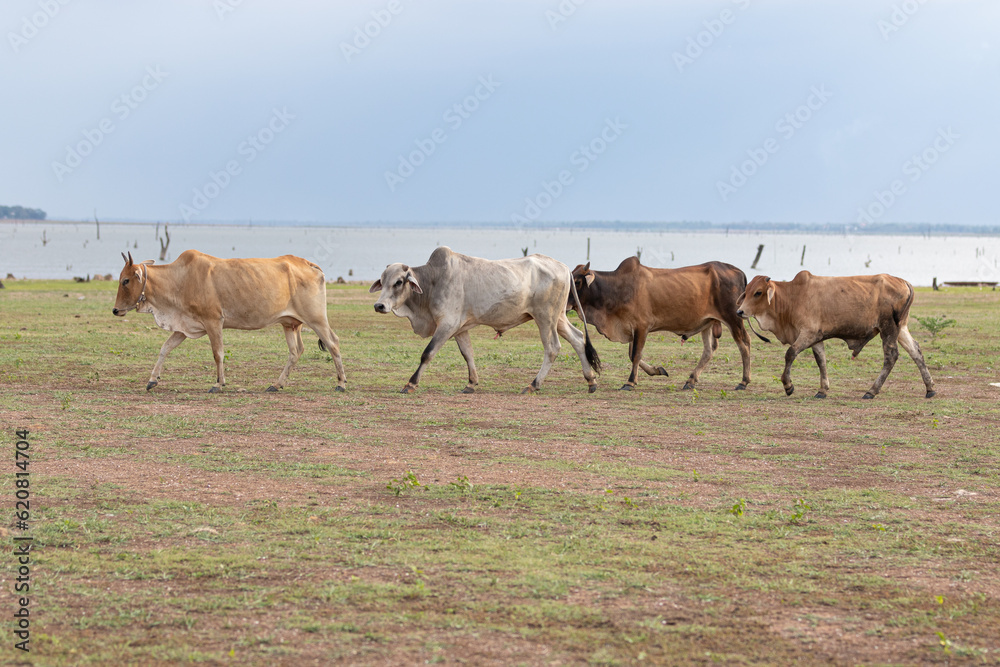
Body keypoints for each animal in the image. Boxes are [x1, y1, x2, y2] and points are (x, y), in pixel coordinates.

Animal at [112, 252, 348, 396]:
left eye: (126, 280)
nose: (115, 310)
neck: (180, 279)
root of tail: (309, 264)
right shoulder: (184, 327)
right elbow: (165, 348)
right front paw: (153, 380)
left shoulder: (213, 321)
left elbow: (218, 353)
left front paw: (218, 383)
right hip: (290, 324)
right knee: (295, 351)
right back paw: (276, 384)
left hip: (316, 319)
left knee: (333, 343)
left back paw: (341, 383)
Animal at [370, 247, 596, 394]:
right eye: (382, 280)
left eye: (399, 282)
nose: (379, 306)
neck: (433, 281)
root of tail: (563, 267)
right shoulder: (460, 328)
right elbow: (468, 354)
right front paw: (471, 383)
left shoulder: (447, 324)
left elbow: (427, 353)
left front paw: (410, 384)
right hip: (558, 318)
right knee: (578, 339)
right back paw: (591, 380)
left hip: (545, 318)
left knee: (552, 348)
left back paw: (533, 384)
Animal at [572, 258, 752, 392]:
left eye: (577, 281)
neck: (617, 288)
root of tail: (739, 272)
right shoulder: (632, 328)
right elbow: (632, 354)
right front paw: (657, 370)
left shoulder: (641, 327)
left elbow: (636, 355)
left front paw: (630, 382)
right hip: (707, 323)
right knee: (709, 350)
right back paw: (691, 380)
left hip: (733, 318)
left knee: (744, 344)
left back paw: (743, 381)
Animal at [736, 272, 936, 400]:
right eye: (746, 291)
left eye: (758, 292)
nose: (739, 312)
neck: (793, 296)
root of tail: (903, 282)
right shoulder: (816, 338)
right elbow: (821, 361)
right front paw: (822, 390)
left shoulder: (807, 333)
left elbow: (790, 354)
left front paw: (788, 386)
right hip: (900, 328)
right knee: (916, 352)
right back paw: (930, 388)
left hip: (888, 328)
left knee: (891, 356)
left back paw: (871, 391)